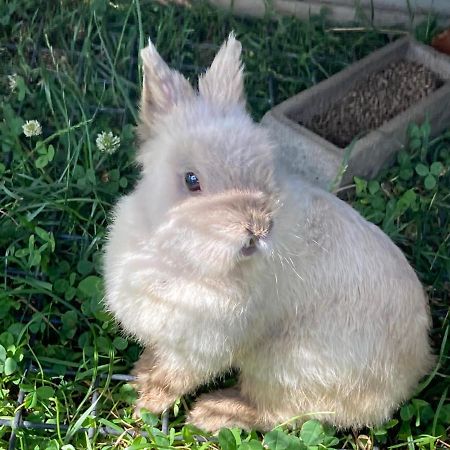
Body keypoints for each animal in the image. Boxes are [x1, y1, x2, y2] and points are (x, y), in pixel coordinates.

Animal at [103, 33, 434, 430]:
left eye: (265, 173)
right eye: (191, 180)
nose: (258, 227)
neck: (176, 254)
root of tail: (412, 371)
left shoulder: (199, 349)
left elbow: (172, 380)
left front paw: (143, 408)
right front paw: (139, 374)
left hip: (284, 369)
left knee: (277, 414)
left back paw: (213, 413)